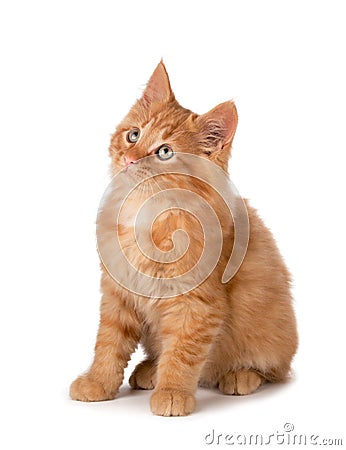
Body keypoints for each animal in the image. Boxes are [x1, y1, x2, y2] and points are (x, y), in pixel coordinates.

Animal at [69, 61, 298, 416]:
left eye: (164, 152)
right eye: (133, 135)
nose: (129, 159)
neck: (148, 214)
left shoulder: (196, 303)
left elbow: (182, 353)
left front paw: (172, 392)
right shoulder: (118, 294)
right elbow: (108, 344)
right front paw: (97, 382)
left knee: (273, 370)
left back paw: (240, 375)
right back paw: (149, 369)